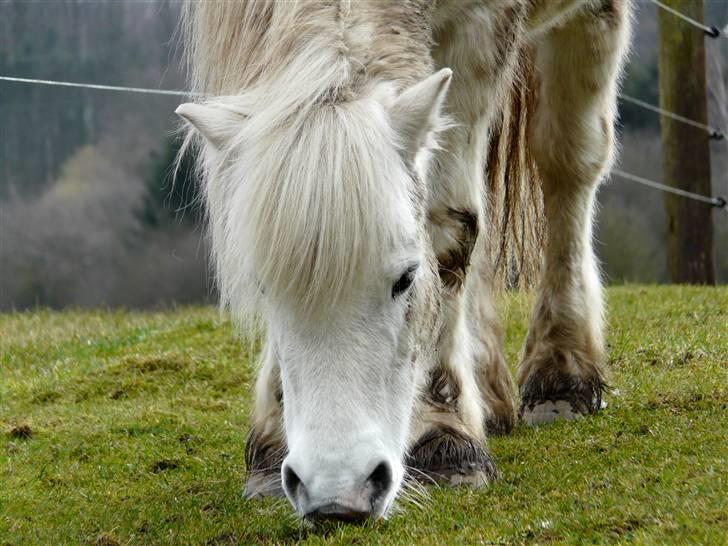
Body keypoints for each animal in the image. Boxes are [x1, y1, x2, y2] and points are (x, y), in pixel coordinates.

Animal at [175, 0, 624, 520]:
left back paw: (563, 372)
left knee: (569, 159)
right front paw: (271, 439)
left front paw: (445, 432)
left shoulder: (480, 32)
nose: (336, 494)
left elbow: (451, 230)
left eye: (407, 279)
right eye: (264, 288)